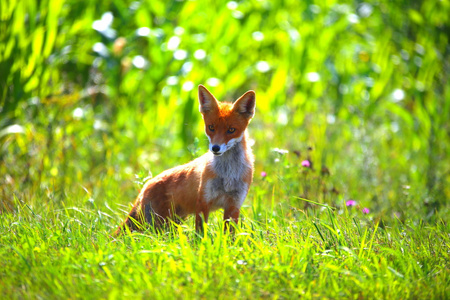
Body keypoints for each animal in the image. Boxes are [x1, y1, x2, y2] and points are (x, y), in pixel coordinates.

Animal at [115, 84, 256, 234]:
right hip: (158, 224)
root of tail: (145, 186)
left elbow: (229, 235)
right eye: (211, 127)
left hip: (173, 222)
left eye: (231, 130)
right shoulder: (203, 201)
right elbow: (200, 234)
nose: (215, 148)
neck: (227, 174)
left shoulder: (234, 205)